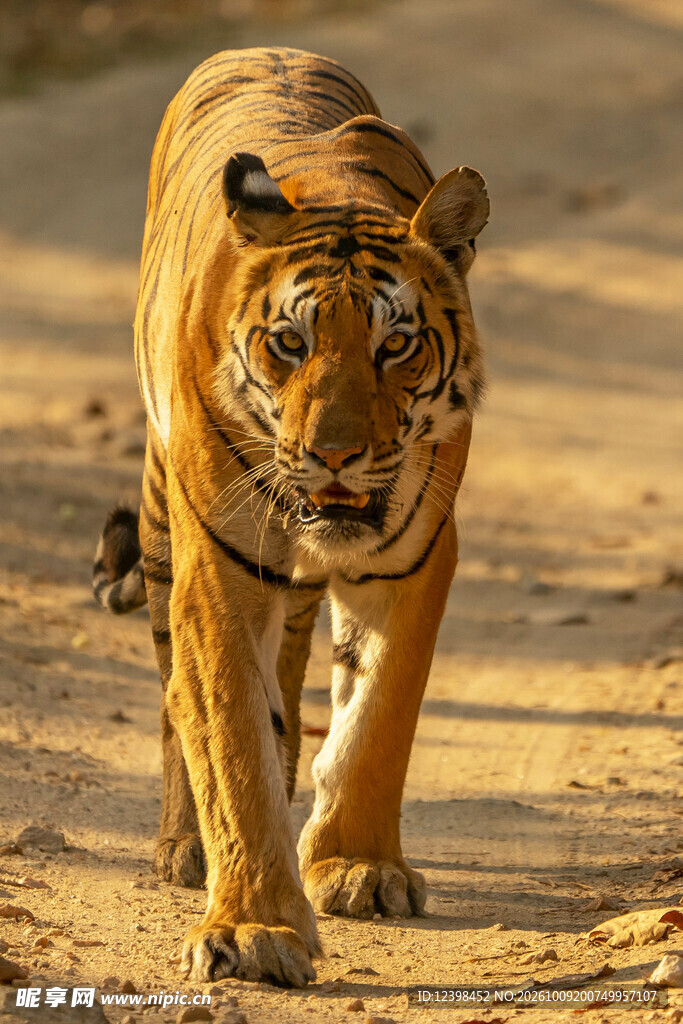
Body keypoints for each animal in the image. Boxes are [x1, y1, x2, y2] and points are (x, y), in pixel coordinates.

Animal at [92, 46, 488, 987]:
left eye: (395, 344)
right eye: (290, 343)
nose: (334, 453)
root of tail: (260, 48)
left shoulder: (414, 558)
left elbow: (379, 713)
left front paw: (358, 866)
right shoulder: (216, 572)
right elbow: (228, 732)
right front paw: (252, 926)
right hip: (161, 527)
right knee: (175, 691)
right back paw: (184, 846)